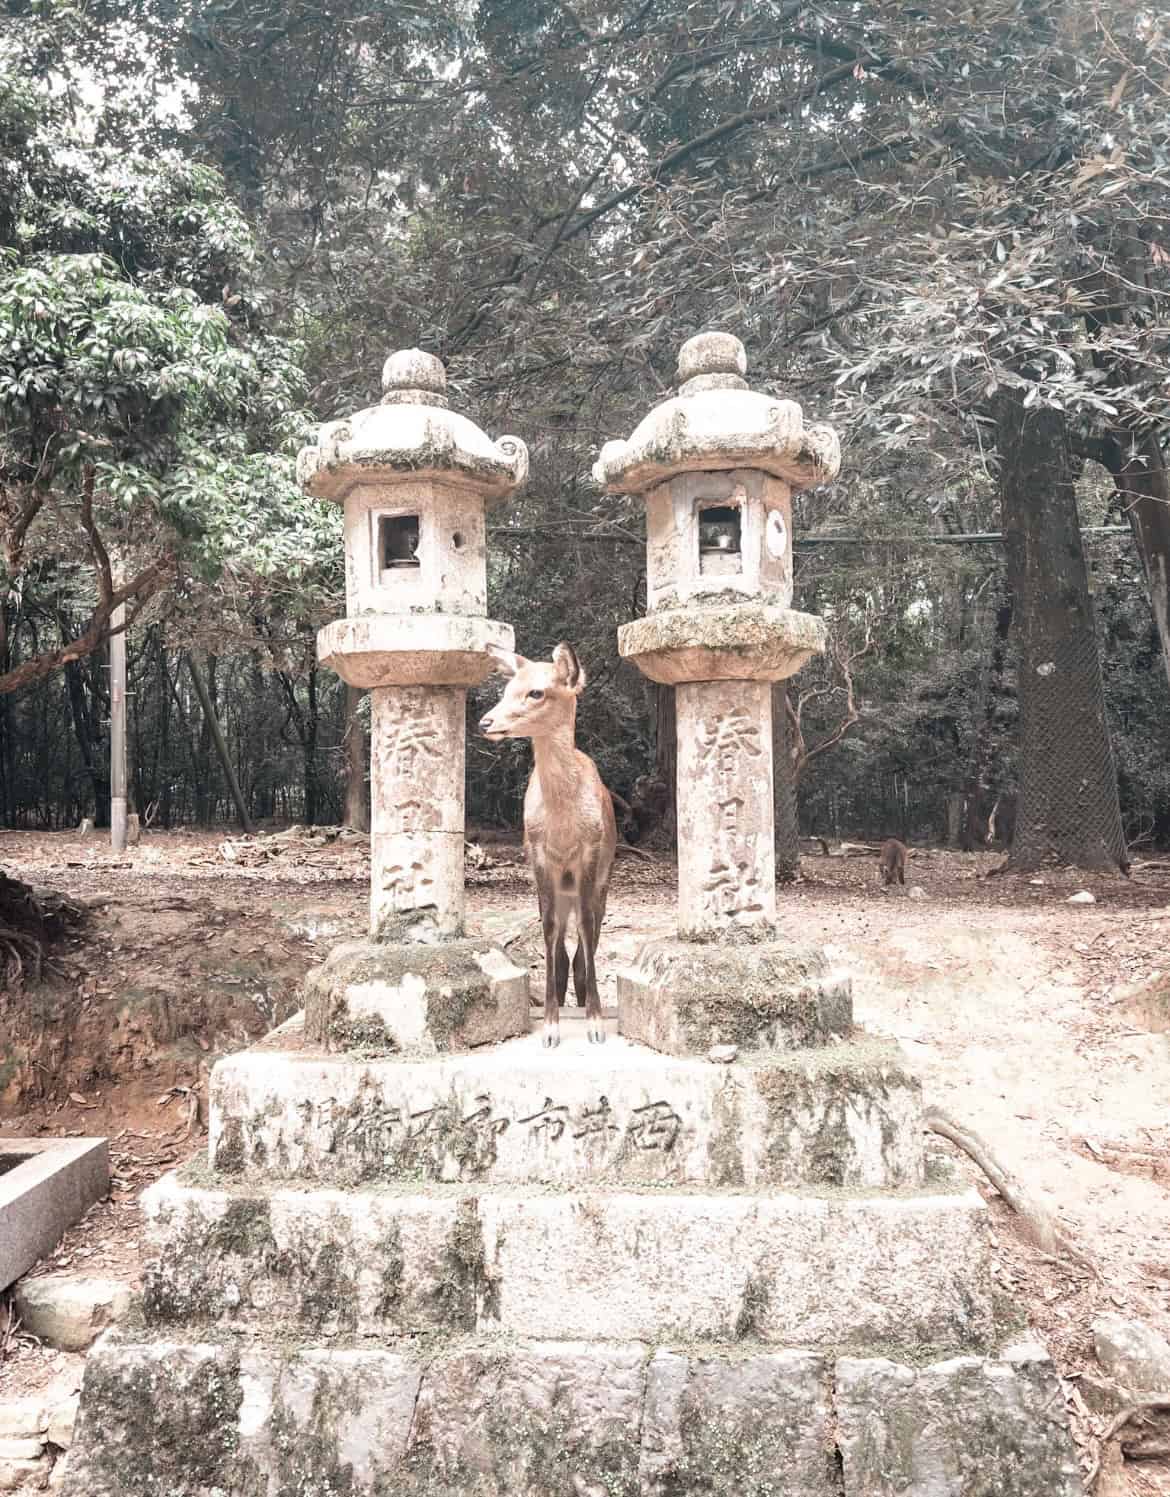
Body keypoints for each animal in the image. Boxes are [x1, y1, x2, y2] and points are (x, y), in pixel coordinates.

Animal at [479, 641, 617, 1048]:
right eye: (506, 689)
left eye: (536, 692)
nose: (485, 723)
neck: (562, 826)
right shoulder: (538, 856)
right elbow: (549, 928)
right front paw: (551, 1028)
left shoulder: (590, 853)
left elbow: (586, 927)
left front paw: (595, 1025)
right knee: (562, 952)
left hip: (603, 880)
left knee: (587, 942)